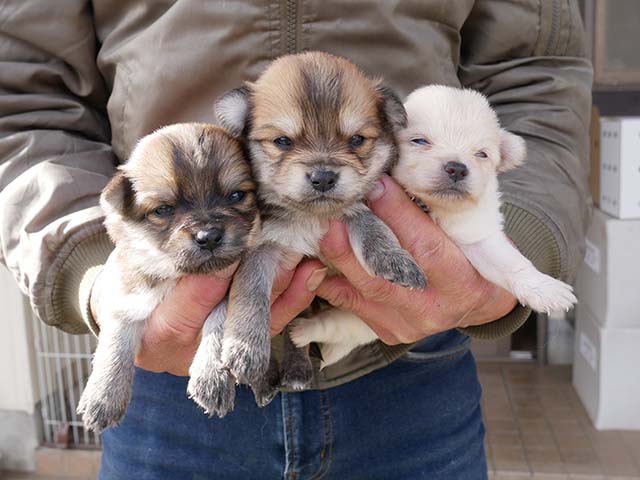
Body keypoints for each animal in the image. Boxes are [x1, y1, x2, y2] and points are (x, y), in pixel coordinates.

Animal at [79, 124, 258, 432]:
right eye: (162, 209)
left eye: (236, 195)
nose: (209, 236)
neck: (174, 275)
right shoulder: (128, 297)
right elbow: (115, 341)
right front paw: (103, 395)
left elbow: (220, 321)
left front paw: (211, 376)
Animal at [292, 84, 576, 368]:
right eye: (420, 141)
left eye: (481, 154)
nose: (457, 168)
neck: (428, 207)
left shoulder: (476, 237)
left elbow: (511, 263)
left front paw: (545, 288)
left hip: (358, 321)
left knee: (335, 327)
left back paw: (303, 331)